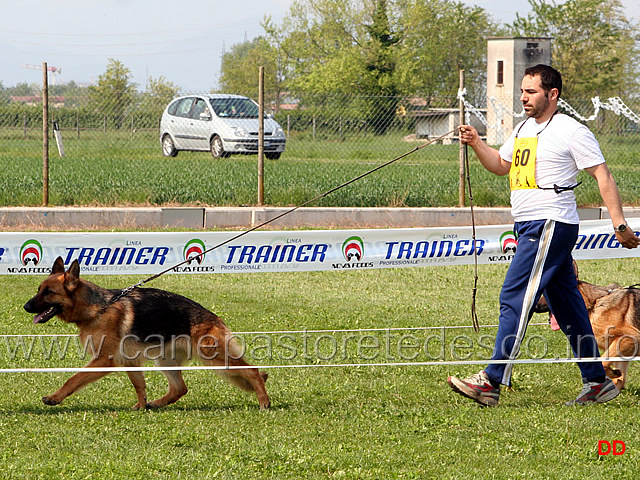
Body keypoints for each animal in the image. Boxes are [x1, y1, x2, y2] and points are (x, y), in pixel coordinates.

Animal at [23, 256, 270, 410]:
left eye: (49, 292)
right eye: (38, 289)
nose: (25, 306)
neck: (98, 307)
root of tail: (213, 316)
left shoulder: (104, 360)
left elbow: (73, 378)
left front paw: (55, 398)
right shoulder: (130, 361)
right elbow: (139, 386)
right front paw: (141, 407)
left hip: (213, 356)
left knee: (253, 371)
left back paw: (264, 401)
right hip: (165, 360)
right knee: (180, 388)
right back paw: (157, 404)